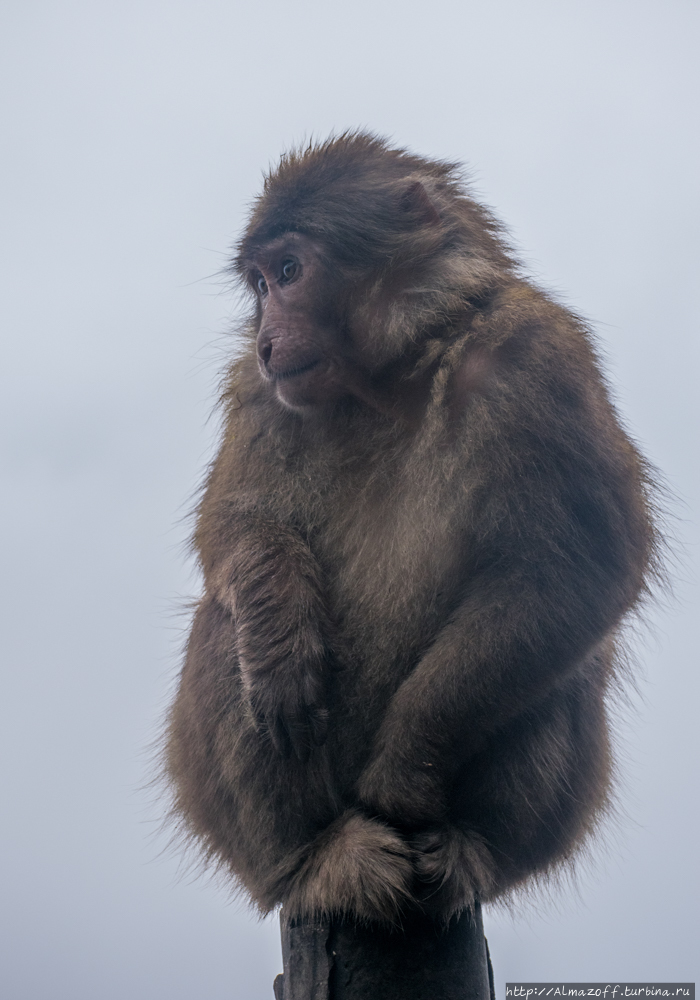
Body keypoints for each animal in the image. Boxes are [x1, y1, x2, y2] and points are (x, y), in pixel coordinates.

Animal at [163, 135, 656, 928]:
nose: (266, 338)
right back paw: (314, 857)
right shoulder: (257, 391)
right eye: (259, 284)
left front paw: (406, 764)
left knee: (568, 659)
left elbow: (580, 570)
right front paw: (281, 632)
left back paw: (468, 848)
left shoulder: (537, 354)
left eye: (290, 272)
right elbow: (233, 530)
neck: (388, 379)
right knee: (222, 619)